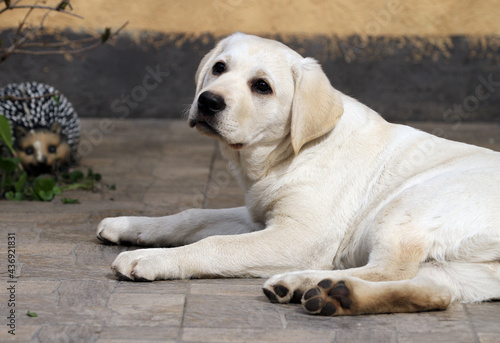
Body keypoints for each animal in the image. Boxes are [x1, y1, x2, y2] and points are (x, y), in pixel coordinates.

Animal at [95, 33, 498, 318]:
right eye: (219, 68)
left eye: (262, 86)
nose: (208, 101)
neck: (289, 153)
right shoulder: (258, 215)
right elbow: (192, 217)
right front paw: (130, 224)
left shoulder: (300, 236)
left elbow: (214, 244)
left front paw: (151, 258)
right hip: (466, 269)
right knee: (436, 291)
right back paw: (329, 293)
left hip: (406, 207)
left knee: (391, 267)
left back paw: (310, 284)